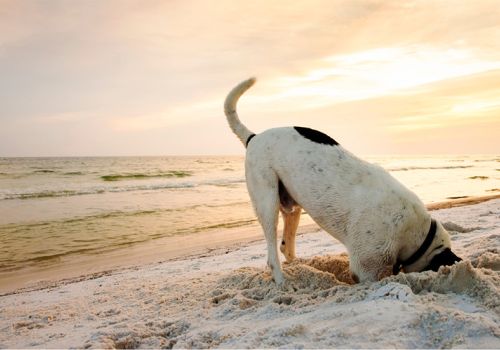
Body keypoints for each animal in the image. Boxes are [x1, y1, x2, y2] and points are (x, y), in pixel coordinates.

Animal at [223, 77, 460, 284]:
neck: (415, 232)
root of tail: (254, 137)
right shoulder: (366, 268)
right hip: (267, 200)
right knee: (272, 253)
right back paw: (282, 281)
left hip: (291, 206)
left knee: (285, 245)